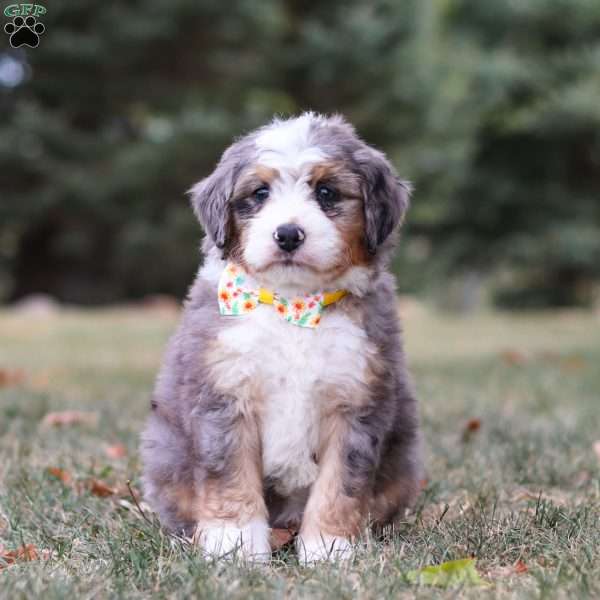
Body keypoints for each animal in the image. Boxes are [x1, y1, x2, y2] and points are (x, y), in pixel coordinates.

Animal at [141, 111, 422, 564]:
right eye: (259, 193)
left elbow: (340, 485)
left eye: (326, 192)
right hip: (164, 454)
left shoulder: (356, 402)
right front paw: (234, 546)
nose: (288, 234)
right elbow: (230, 479)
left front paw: (328, 549)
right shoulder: (225, 397)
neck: (294, 306)